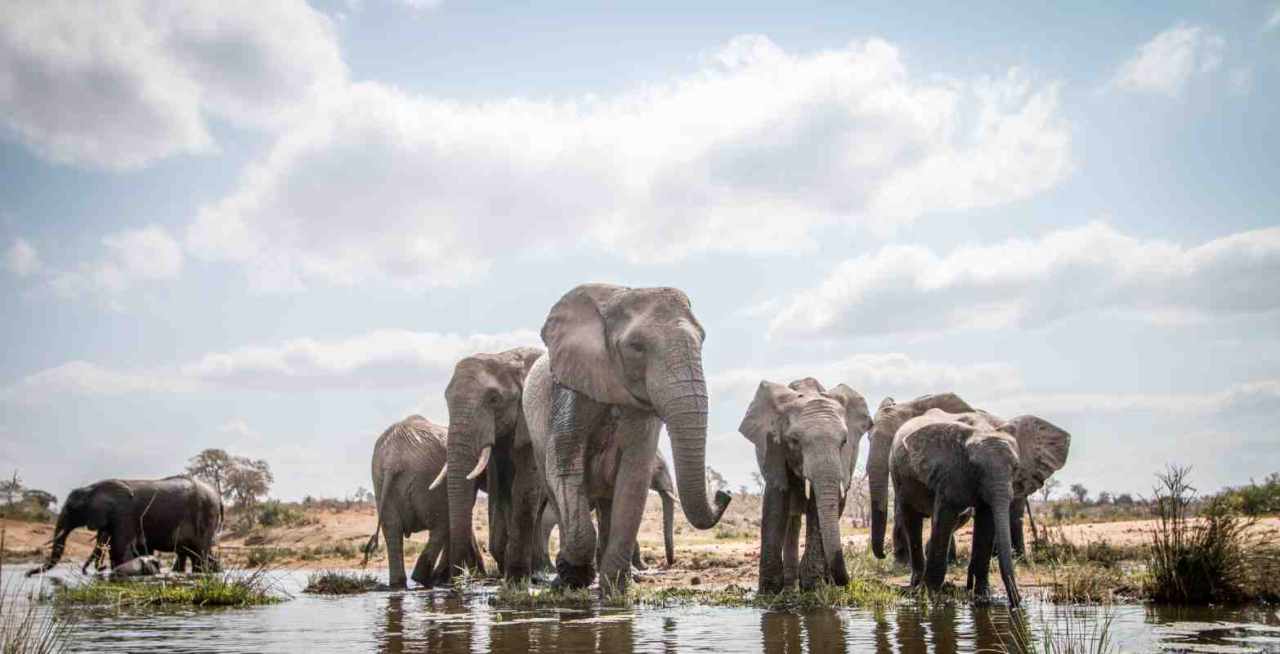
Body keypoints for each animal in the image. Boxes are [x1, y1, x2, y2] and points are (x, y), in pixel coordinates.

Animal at [27, 475, 222, 577]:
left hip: (205, 515)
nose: (28, 573)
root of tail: (218, 498)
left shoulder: (124, 514)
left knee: (199, 554)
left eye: (71, 508)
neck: (92, 488)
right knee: (196, 553)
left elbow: (120, 548)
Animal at [365, 414, 473, 589]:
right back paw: (425, 580)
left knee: (392, 530)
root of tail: (393, 460)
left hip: (379, 480)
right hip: (427, 480)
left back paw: (400, 584)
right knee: (441, 523)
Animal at [443, 346, 545, 582]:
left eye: (494, 399)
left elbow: (524, 488)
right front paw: (505, 567)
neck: (506, 357)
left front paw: (516, 577)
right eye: (446, 399)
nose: (457, 579)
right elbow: (499, 489)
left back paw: (538, 571)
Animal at [739, 378, 872, 593]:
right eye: (794, 441)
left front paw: (812, 586)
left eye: (844, 441)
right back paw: (790, 585)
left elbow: (817, 508)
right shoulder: (774, 448)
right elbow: (776, 502)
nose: (847, 581)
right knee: (792, 519)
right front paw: (768, 592)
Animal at [890, 409, 1069, 607]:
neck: (982, 429)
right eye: (975, 467)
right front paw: (931, 599)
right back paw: (916, 585)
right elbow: (944, 519)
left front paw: (983, 598)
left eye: (1016, 467)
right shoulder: (950, 472)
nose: (1017, 603)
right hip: (898, 475)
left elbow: (987, 523)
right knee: (911, 518)